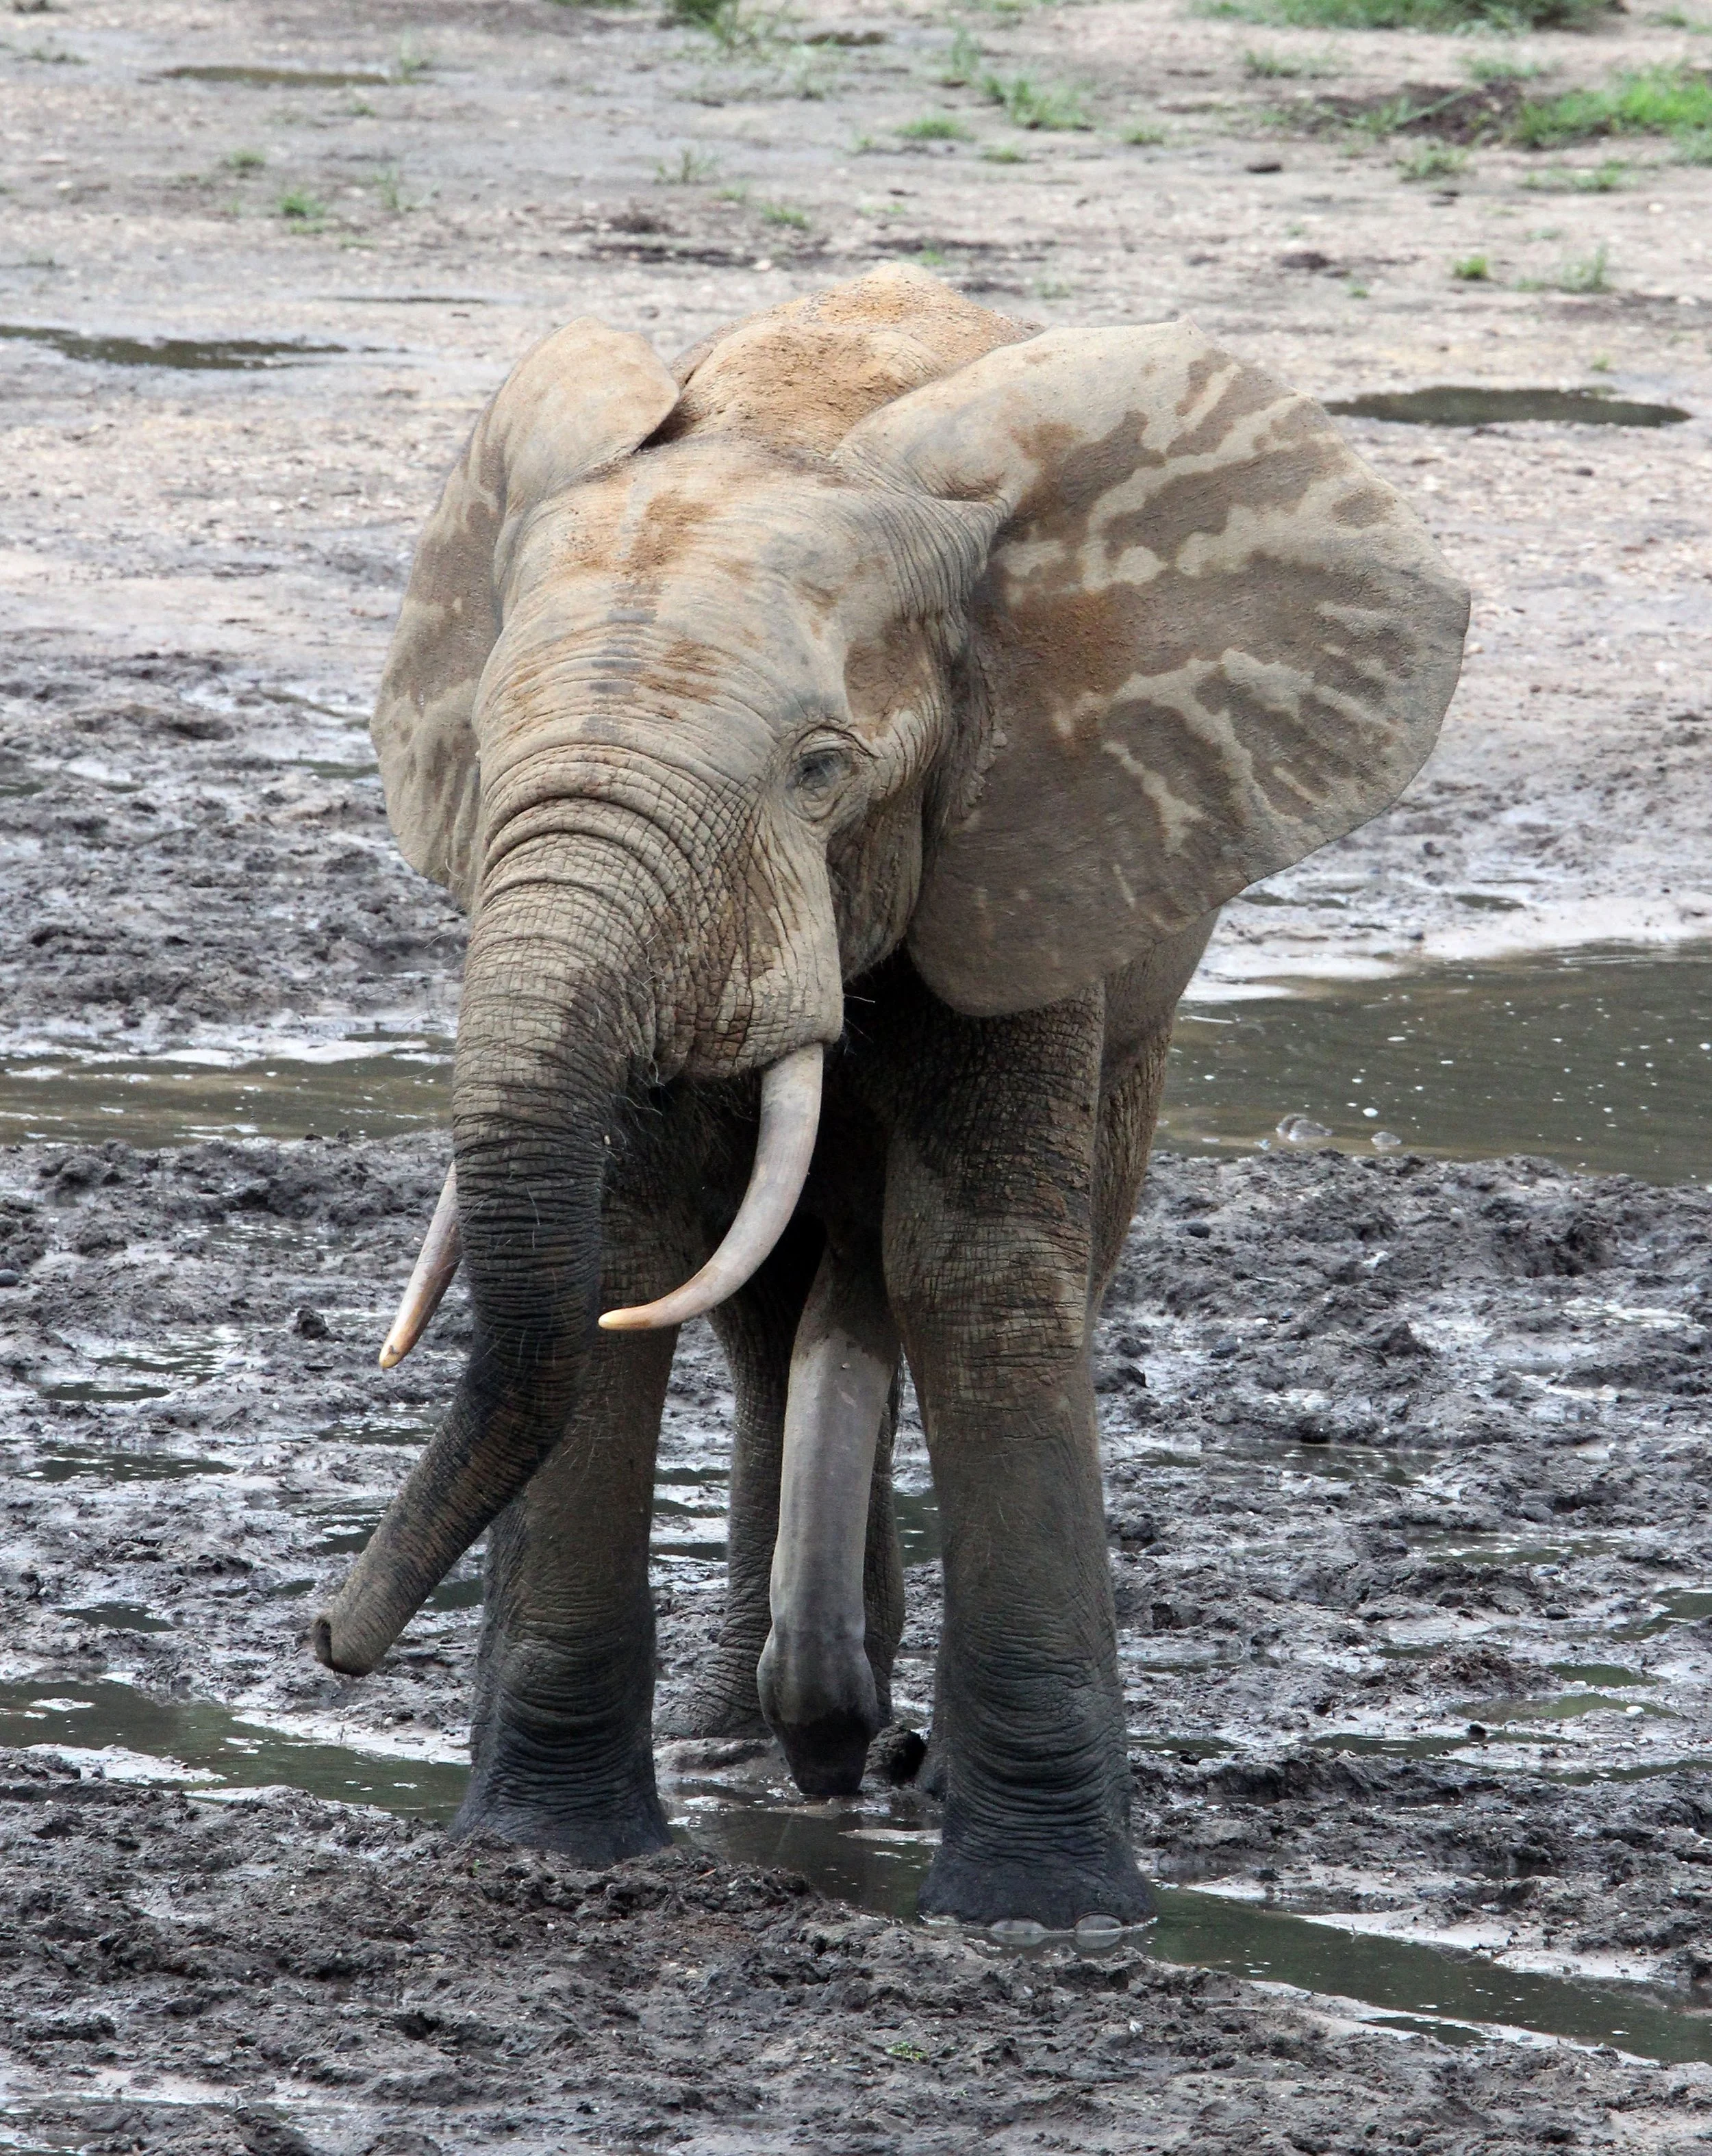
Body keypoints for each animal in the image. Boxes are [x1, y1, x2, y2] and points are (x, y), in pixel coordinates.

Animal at [311, 265, 1467, 1928]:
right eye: (480, 746)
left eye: (819, 770)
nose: (329, 1638)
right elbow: (628, 1248)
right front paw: (546, 1848)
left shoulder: (1025, 836)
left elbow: (970, 1270)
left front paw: (1047, 1910)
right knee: (756, 1300)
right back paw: (759, 1733)